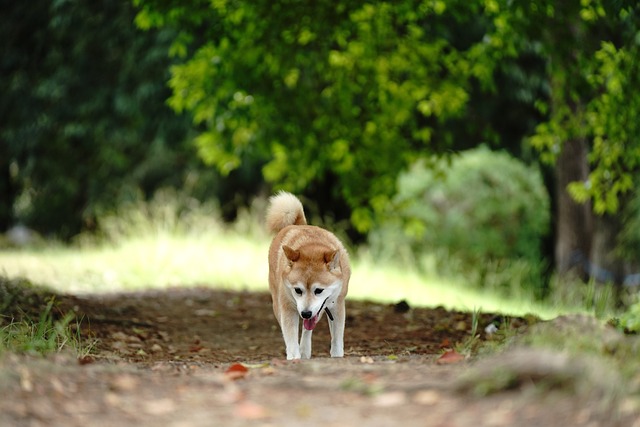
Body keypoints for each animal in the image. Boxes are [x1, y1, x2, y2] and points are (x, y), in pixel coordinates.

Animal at [268, 192, 352, 360]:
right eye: (297, 290)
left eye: (318, 290)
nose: (305, 313)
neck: (311, 247)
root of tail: (297, 224)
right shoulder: (287, 307)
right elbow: (290, 336)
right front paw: (294, 356)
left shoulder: (336, 305)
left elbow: (337, 338)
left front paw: (337, 355)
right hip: (279, 304)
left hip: (320, 310)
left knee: (308, 329)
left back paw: (305, 349)